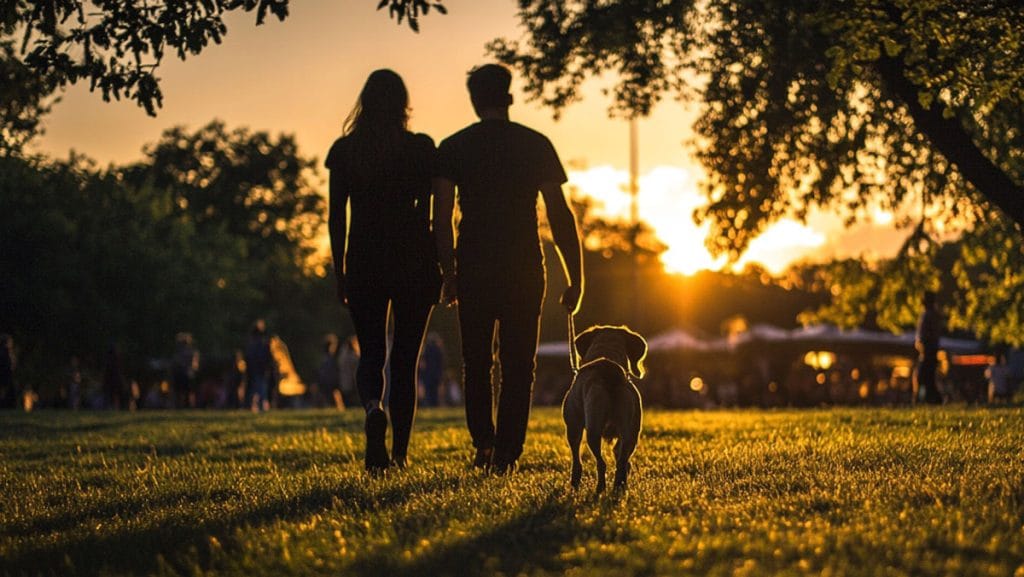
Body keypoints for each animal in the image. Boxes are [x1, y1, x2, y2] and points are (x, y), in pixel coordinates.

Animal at [561, 325, 647, 491]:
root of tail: (610, 373)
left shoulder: (573, 427)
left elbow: (576, 459)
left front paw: (575, 483)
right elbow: (619, 453)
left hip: (593, 427)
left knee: (601, 463)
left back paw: (600, 488)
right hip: (632, 432)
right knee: (622, 462)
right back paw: (619, 486)